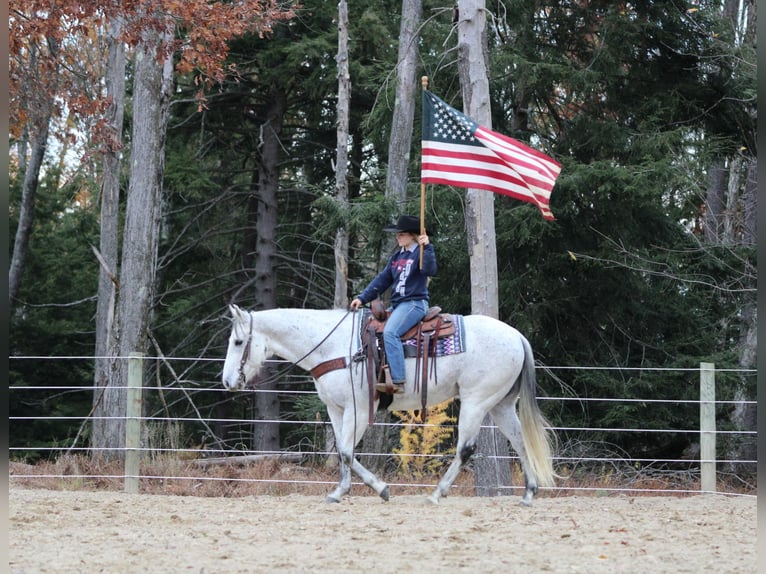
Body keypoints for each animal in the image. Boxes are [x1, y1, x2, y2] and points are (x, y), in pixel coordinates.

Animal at [221, 304, 555, 505]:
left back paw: (437, 493)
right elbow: (343, 451)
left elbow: (346, 451)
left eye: (237, 342)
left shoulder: (357, 409)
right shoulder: (336, 409)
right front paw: (348, 491)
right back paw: (528, 493)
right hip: (501, 405)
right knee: (520, 441)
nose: (227, 381)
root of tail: (517, 336)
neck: (334, 346)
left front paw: (371, 489)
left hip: (476, 401)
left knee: (465, 449)